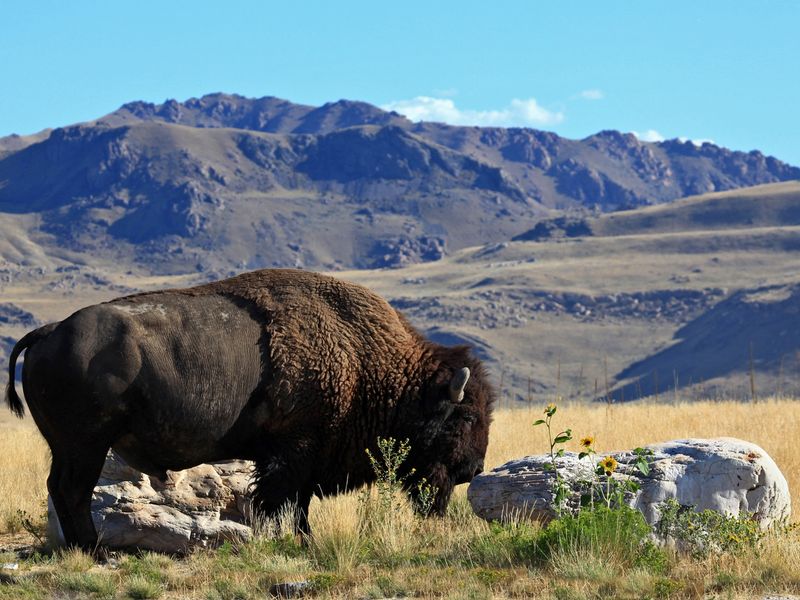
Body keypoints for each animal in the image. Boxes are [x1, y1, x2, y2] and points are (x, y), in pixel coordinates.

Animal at [5, 269, 495, 551]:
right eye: (466, 416)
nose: (473, 468)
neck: (366, 361)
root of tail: (50, 331)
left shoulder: (299, 458)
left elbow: (295, 505)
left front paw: (301, 541)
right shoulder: (293, 452)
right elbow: (281, 502)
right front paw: (293, 542)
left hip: (69, 448)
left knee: (61, 490)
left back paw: (79, 549)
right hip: (85, 446)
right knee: (73, 491)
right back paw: (93, 550)